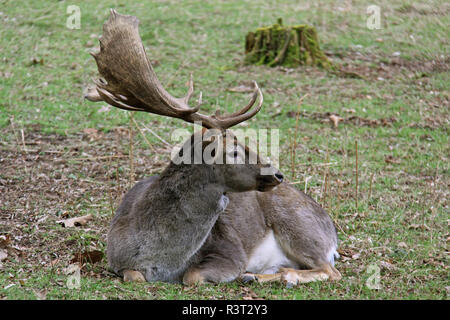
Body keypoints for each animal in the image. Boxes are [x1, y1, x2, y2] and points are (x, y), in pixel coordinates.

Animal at [85, 10, 342, 286]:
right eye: (234, 151)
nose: (277, 174)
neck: (161, 260)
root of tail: (332, 231)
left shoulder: (230, 252)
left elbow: (192, 276)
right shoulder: (116, 258)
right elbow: (135, 276)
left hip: (300, 226)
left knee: (330, 270)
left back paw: (266, 276)